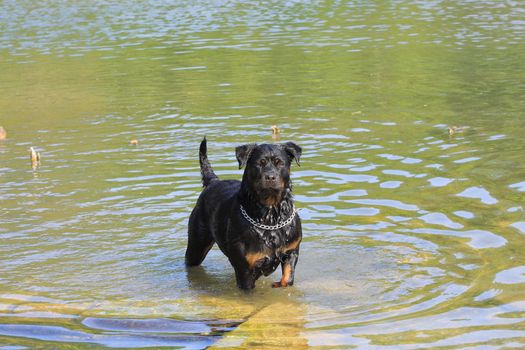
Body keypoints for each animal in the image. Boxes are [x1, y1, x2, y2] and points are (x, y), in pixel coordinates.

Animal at [184, 137, 300, 290]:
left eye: (280, 163)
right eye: (260, 163)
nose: (270, 177)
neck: (270, 215)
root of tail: (213, 182)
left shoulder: (292, 251)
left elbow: (288, 277)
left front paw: (279, 284)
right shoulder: (245, 270)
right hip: (197, 243)